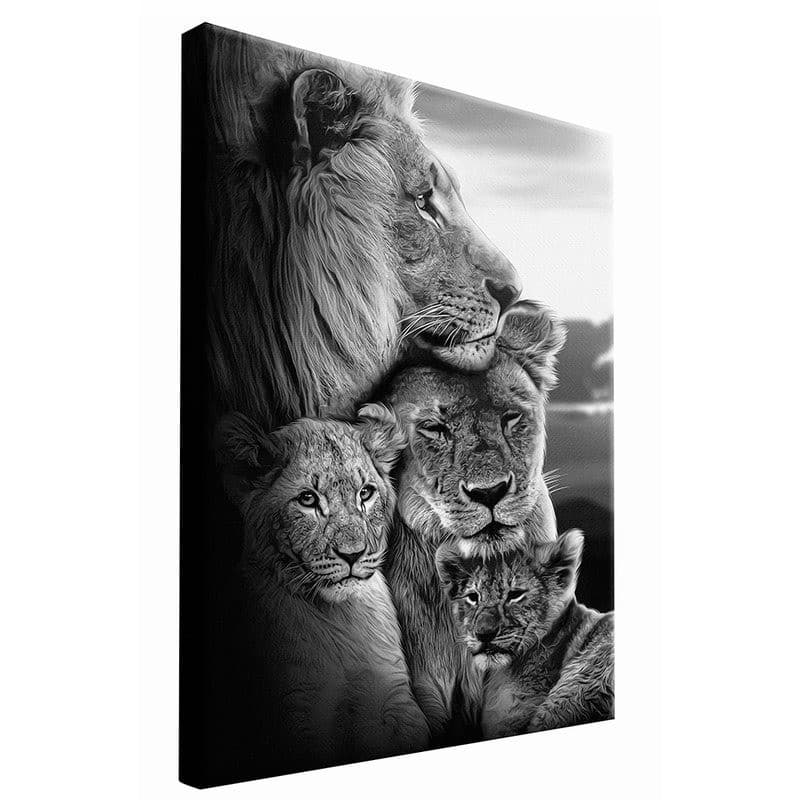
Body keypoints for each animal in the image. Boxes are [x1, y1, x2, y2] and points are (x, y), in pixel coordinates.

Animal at [213, 404, 430, 774]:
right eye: (307, 499)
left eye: (365, 493)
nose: (353, 554)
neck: (341, 618)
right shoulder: (295, 711)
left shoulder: (392, 697)